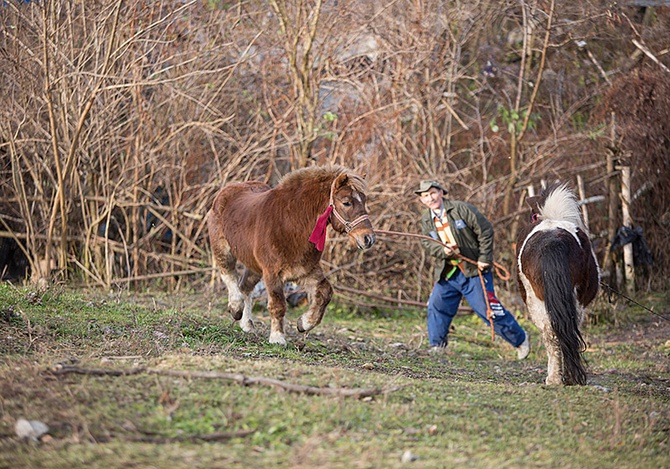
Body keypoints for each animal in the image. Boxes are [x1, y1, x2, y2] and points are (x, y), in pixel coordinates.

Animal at [209, 165, 378, 344]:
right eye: (346, 202)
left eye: (364, 200)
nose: (368, 238)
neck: (290, 223)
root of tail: (227, 189)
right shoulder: (272, 273)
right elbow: (278, 305)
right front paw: (277, 338)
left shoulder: (306, 270)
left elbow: (325, 293)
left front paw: (304, 323)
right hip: (223, 250)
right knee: (228, 275)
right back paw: (236, 308)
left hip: (254, 266)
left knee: (245, 287)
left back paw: (247, 324)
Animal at [516, 183, 600, 384]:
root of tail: (552, 242)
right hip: (568, 300)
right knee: (560, 332)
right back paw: (562, 377)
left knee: (553, 333)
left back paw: (556, 377)